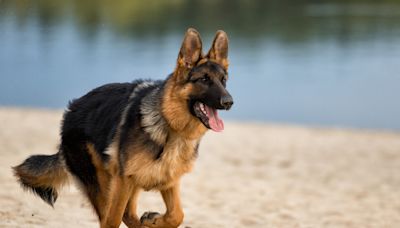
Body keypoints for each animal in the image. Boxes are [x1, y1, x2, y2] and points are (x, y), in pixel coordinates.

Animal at [13, 29, 234, 228]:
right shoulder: (124, 181)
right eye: (204, 79)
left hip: (130, 184)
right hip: (105, 185)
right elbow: (112, 220)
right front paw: (152, 220)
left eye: (223, 81)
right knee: (110, 218)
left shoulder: (167, 180)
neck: (170, 127)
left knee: (129, 215)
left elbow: (176, 216)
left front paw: (153, 220)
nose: (229, 102)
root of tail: (71, 110)